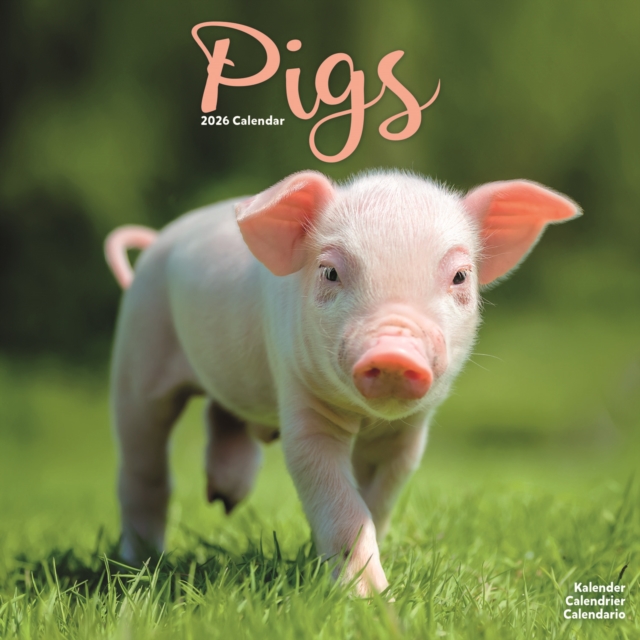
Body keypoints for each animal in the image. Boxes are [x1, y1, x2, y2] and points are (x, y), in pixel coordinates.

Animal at [105, 170, 581, 595]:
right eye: (330, 272)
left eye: (460, 276)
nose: (393, 352)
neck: (366, 418)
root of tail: (157, 241)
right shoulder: (303, 404)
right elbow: (336, 495)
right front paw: (369, 598)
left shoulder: (406, 437)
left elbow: (377, 499)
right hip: (137, 353)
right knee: (144, 461)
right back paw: (141, 558)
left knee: (222, 414)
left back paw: (224, 499)